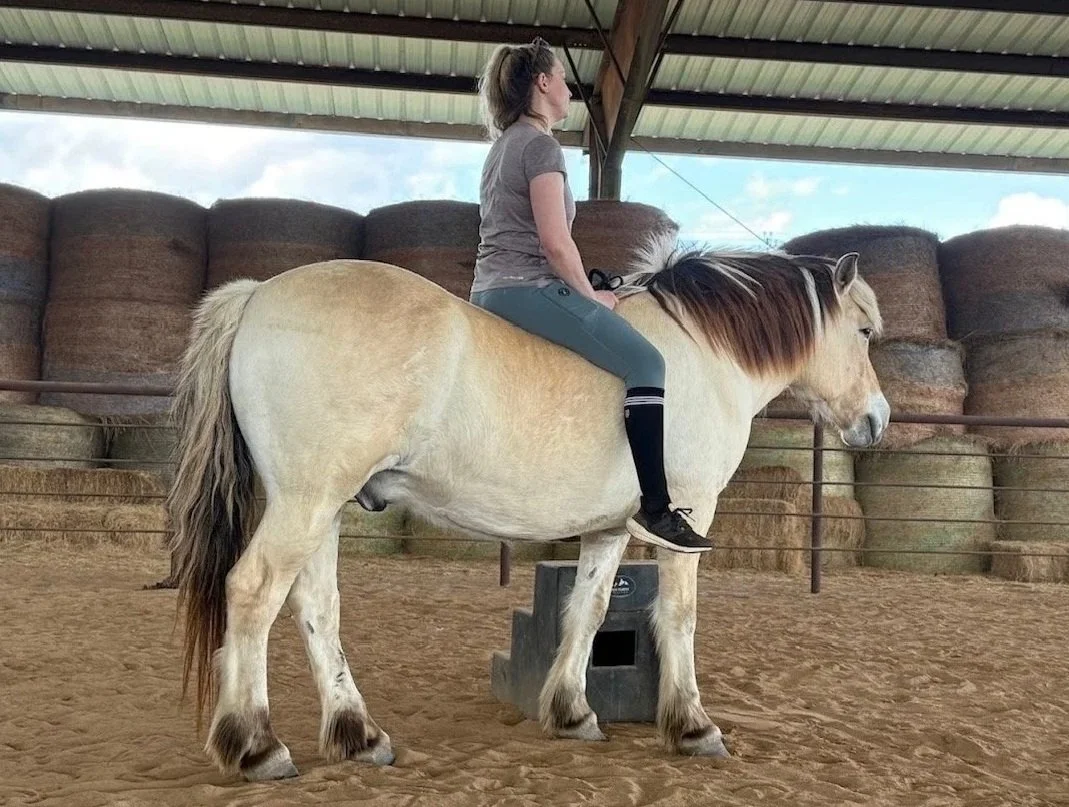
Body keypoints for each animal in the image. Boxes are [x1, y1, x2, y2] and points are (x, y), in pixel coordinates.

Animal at [168, 233, 888, 781]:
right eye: (862, 331)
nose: (876, 420)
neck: (701, 352)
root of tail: (258, 293)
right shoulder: (689, 513)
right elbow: (678, 616)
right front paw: (691, 726)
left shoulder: (608, 528)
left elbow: (588, 611)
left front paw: (572, 712)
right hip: (306, 500)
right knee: (254, 591)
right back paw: (255, 744)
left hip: (322, 506)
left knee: (316, 605)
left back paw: (357, 734)